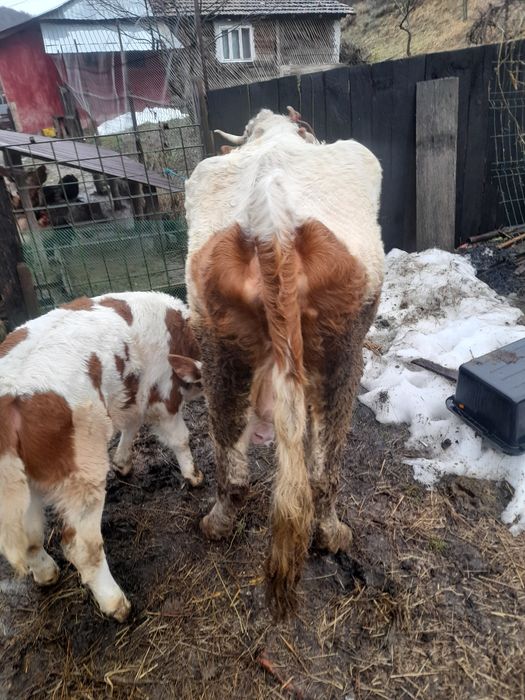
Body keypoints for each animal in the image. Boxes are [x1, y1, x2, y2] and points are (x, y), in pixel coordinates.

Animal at [0, 291, 202, 621]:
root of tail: (9, 395)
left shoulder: (131, 396)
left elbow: (131, 425)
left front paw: (122, 463)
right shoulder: (162, 393)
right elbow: (179, 438)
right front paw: (193, 475)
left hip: (21, 486)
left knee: (30, 537)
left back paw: (46, 574)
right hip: (82, 472)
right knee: (81, 546)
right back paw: (116, 603)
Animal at [185, 108, 384, 617]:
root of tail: (270, 220)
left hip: (216, 343)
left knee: (234, 466)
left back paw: (216, 525)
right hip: (343, 353)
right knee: (322, 471)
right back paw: (333, 535)